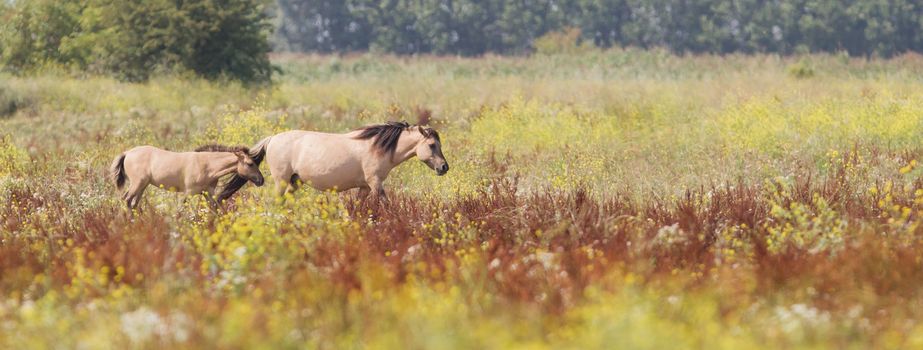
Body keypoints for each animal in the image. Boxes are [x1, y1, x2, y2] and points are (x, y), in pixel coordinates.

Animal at [111, 144, 268, 209]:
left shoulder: (208, 193)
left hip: (143, 186)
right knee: (126, 200)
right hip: (137, 183)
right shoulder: (189, 192)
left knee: (133, 203)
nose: (261, 180)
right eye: (250, 164)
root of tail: (127, 153)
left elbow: (214, 209)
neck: (206, 166)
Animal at [217, 121, 448, 201]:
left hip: (294, 182)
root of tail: (272, 139)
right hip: (281, 181)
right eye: (432, 145)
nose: (444, 167)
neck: (377, 146)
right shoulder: (375, 183)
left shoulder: (364, 186)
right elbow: (385, 202)